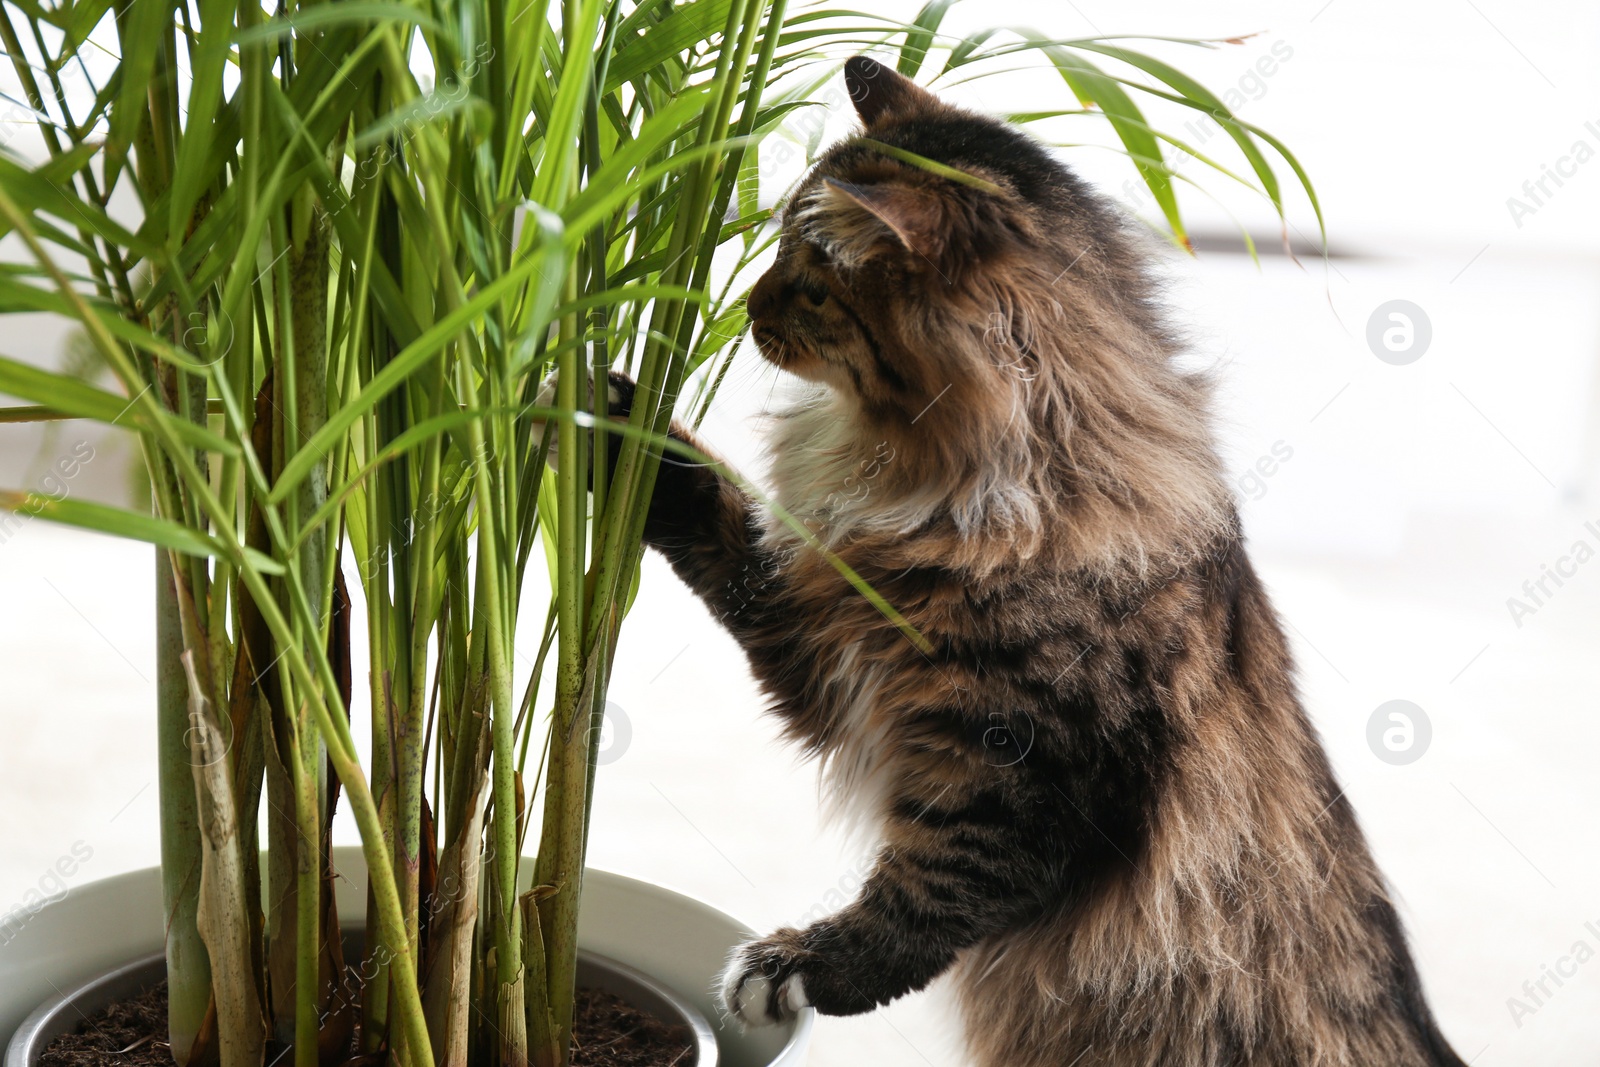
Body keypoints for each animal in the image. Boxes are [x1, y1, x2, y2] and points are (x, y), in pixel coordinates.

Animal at [585, 56, 1465, 1067]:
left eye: (811, 283)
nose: (743, 306)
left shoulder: (1025, 771)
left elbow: (930, 891)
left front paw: (799, 965)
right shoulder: (823, 636)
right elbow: (722, 521)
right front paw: (620, 428)